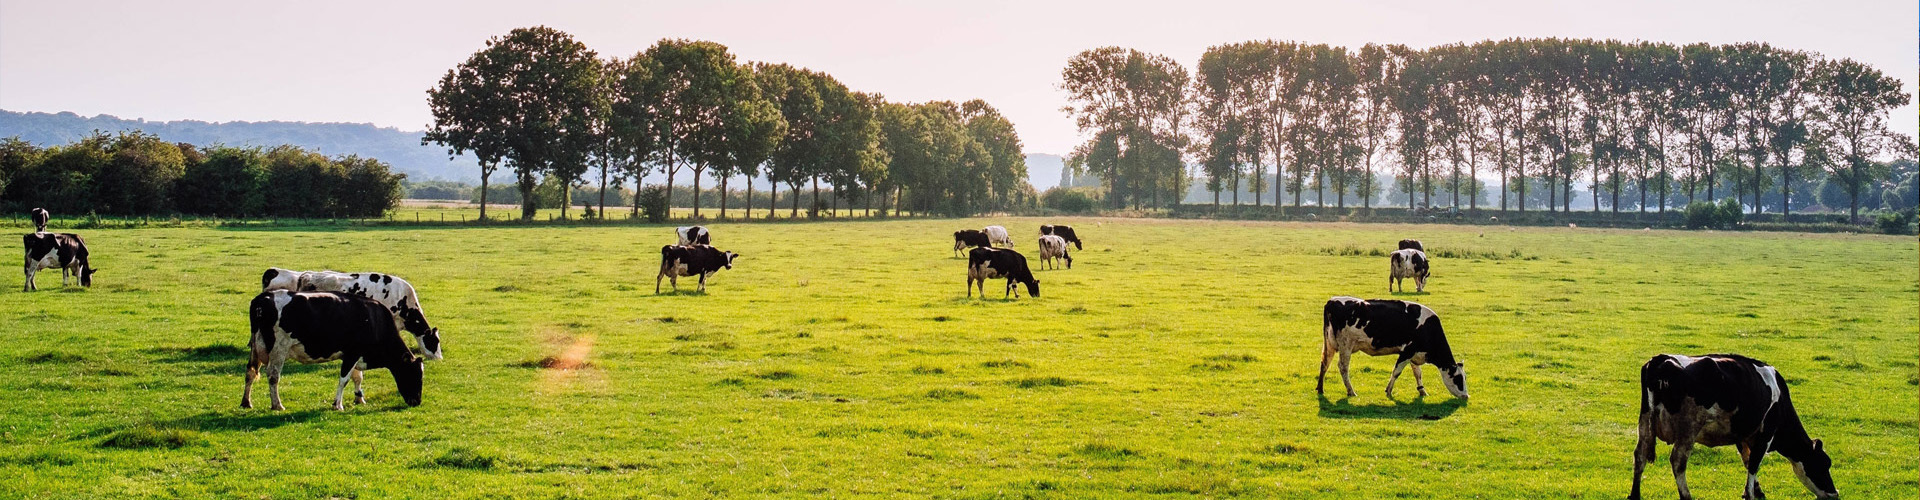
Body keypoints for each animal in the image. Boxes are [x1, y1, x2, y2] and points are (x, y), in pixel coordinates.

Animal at [241, 288, 422, 409]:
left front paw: (359, 399)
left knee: (250, 371)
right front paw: (338, 404)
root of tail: (263, 297)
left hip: (255, 347)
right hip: (279, 348)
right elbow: (344, 379)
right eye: (415, 375)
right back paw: (277, 405)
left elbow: (357, 377)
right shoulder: (353, 352)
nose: (417, 402)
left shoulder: (353, 355)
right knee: (273, 375)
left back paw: (246, 402)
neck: (374, 320)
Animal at [1320, 296, 1466, 398]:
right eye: (1458, 378)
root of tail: (1332, 301)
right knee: (1343, 367)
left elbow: (1417, 373)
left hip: (1330, 344)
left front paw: (1423, 391)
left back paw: (1320, 389)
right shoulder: (1407, 351)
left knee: (1325, 363)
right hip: (1346, 345)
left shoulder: (1415, 353)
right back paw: (1351, 391)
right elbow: (1396, 372)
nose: (1466, 396)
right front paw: (1389, 391)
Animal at [1628, 353, 1835, 500]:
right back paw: (1687, 496)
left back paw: (1635, 495)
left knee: (1640, 456)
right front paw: (1750, 494)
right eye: (1824, 464)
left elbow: (1747, 460)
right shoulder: (1766, 433)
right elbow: (1754, 463)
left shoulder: (1741, 434)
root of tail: (1661, 359)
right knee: (1678, 461)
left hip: (1644, 423)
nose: (1834, 494)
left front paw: (1756, 490)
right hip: (1688, 428)